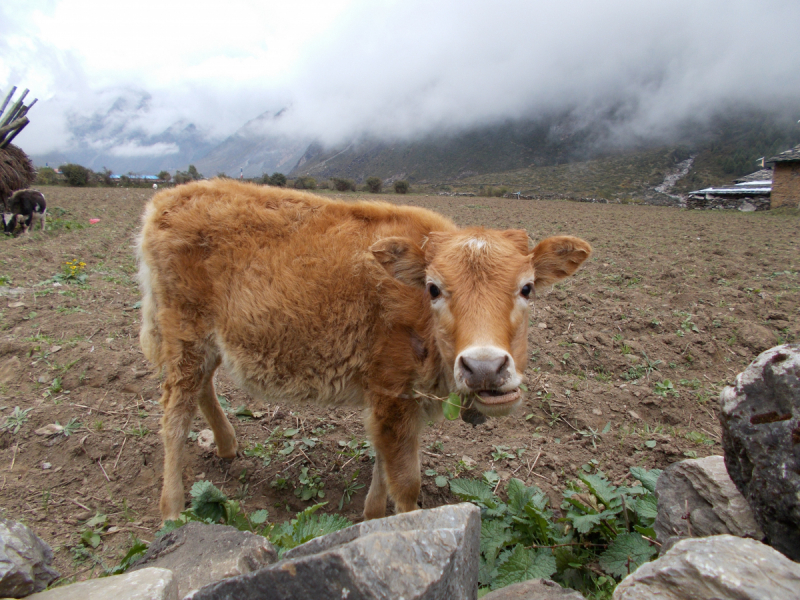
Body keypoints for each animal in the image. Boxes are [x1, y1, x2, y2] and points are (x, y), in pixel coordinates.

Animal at [136, 179, 588, 520]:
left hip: (207, 343)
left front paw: (370, 516)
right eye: (434, 288)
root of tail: (167, 198)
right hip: (183, 338)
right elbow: (404, 482)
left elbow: (381, 466)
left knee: (203, 388)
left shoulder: (395, 402)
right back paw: (172, 510)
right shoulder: (392, 394)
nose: (484, 367)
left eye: (526, 288)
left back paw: (227, 445)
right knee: (174, 416)